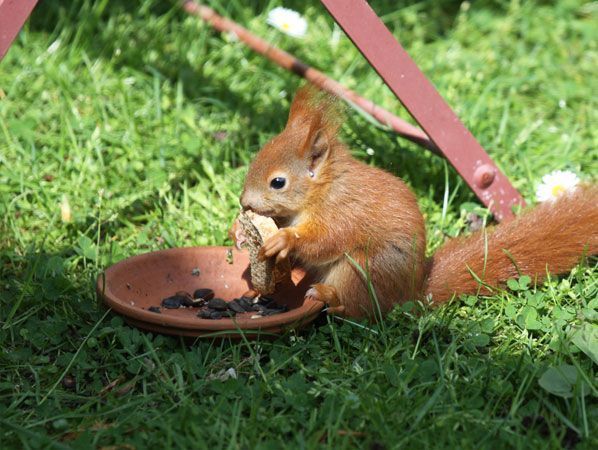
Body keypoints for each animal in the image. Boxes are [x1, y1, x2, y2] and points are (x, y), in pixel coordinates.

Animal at [234, 86, 598, 318]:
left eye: (278, 182)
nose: (243, 201)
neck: (322, 191)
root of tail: (411, 292)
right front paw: (240, 233)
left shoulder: (344, 213)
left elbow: (324, 240)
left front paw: (284, 239)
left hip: (363, 270)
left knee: (361, 309)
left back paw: (330, 299)